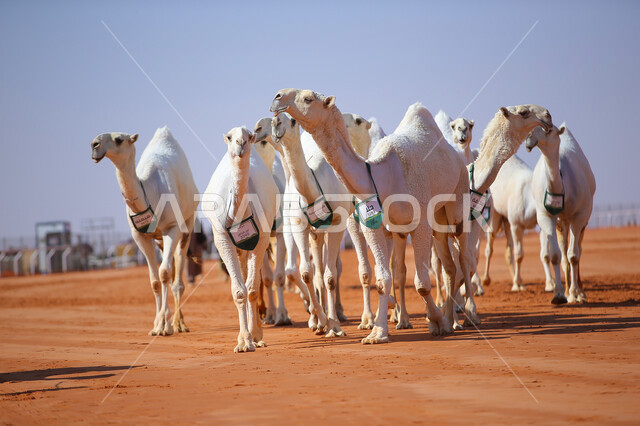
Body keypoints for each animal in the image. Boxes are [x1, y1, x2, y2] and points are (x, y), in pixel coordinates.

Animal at [90, 127, 197, 336]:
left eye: (119, 139)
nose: (94, 144)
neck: (149, 193)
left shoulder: (172, 228)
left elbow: (164, 273)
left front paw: (165, 326)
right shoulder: (139, 236)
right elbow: (155, 280)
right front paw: (156, 326)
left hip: (187, 224)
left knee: (177, 277)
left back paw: (179, 324)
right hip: (159, 239)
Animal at [201, 126, 276, 352]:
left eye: (249, 136)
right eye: (229, 137)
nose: (241, 143)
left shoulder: (261, 238)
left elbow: (251, 289)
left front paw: (254, 336)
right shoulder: (222, 239)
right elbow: (239, 291)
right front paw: (243, 341)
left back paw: (258, 332)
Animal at [483, 155, 537, 291]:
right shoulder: (517, 225)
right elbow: (519, 255)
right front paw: (516, 285)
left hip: (507, 220)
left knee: (508, 252)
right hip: (496, 215)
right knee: (489, 247)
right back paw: (486, 280)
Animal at [525, 124, 595, 304]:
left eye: (549, 129)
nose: (529, 138)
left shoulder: (579, 216)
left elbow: (574, 256)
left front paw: (575, 293)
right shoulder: (546, 216)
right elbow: (556, 255)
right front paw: (558, 294)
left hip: (583, 218)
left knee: (578, 249)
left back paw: (579, 291)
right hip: (561, 221)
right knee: (564, 250)